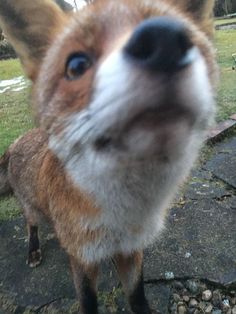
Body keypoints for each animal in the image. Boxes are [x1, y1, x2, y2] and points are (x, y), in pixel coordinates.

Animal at [0, 0, 218, 312]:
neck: (121, 216)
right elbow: (88, 301)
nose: (163, 40)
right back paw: (34, 249)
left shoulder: (132, 251)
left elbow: (136, 294)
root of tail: (19, 139)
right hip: (31, 209)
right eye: (76, 65)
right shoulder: (84, 260)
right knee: (31, 225)